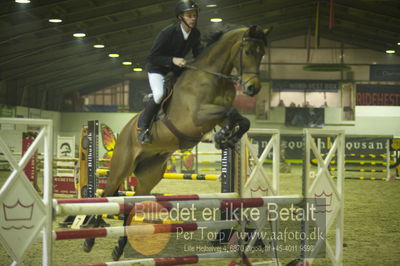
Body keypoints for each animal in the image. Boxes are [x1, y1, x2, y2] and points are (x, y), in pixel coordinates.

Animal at [84, 24, 272, 260]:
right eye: (247, 52)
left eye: (262, 53)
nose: (252, 89)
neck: (214, 78)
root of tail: (125, 131)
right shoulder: (197, 116)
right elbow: (231, 112)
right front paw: (223, 138)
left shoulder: (218, 115)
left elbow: (241, 119)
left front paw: (225, 139)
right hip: (120, 168)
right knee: (107, 195)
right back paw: (89, 239)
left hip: (150, 175)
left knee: (131, 205)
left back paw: (120, 246)